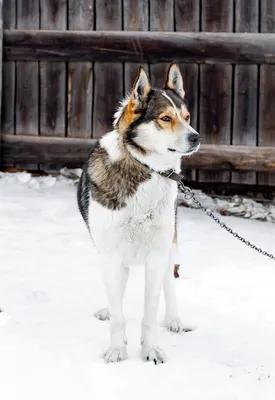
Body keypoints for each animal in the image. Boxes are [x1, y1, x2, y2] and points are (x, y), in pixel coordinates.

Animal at [77, 64, 201, 364]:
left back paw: (174, 319)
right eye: (165, 118)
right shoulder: (109, 253)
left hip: (170, 245)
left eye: (187, 117)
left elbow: (150, 311)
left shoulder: (157, 254)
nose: (196, 137)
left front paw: (150, 349)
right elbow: (118, 313)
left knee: (169, 282)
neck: (144, 168)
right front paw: (116, 349)